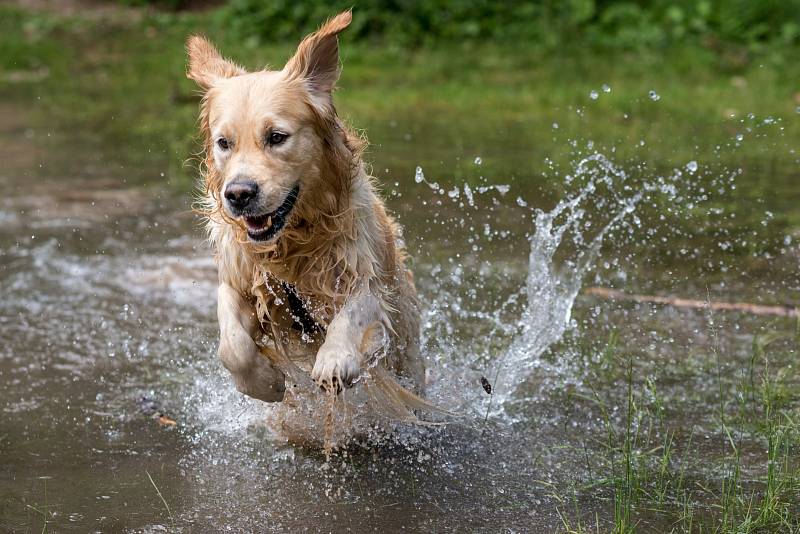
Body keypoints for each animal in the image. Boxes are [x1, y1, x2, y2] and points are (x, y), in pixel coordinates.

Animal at [185, 10, 434, 430]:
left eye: (276, 136)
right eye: (224, 143)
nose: (238, 194)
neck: (290, 244)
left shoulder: (364, 275)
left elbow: (354, 311)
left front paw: (335, 359)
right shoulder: (239, 278)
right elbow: (231, 343)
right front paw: (265, 382)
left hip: (407, 353)